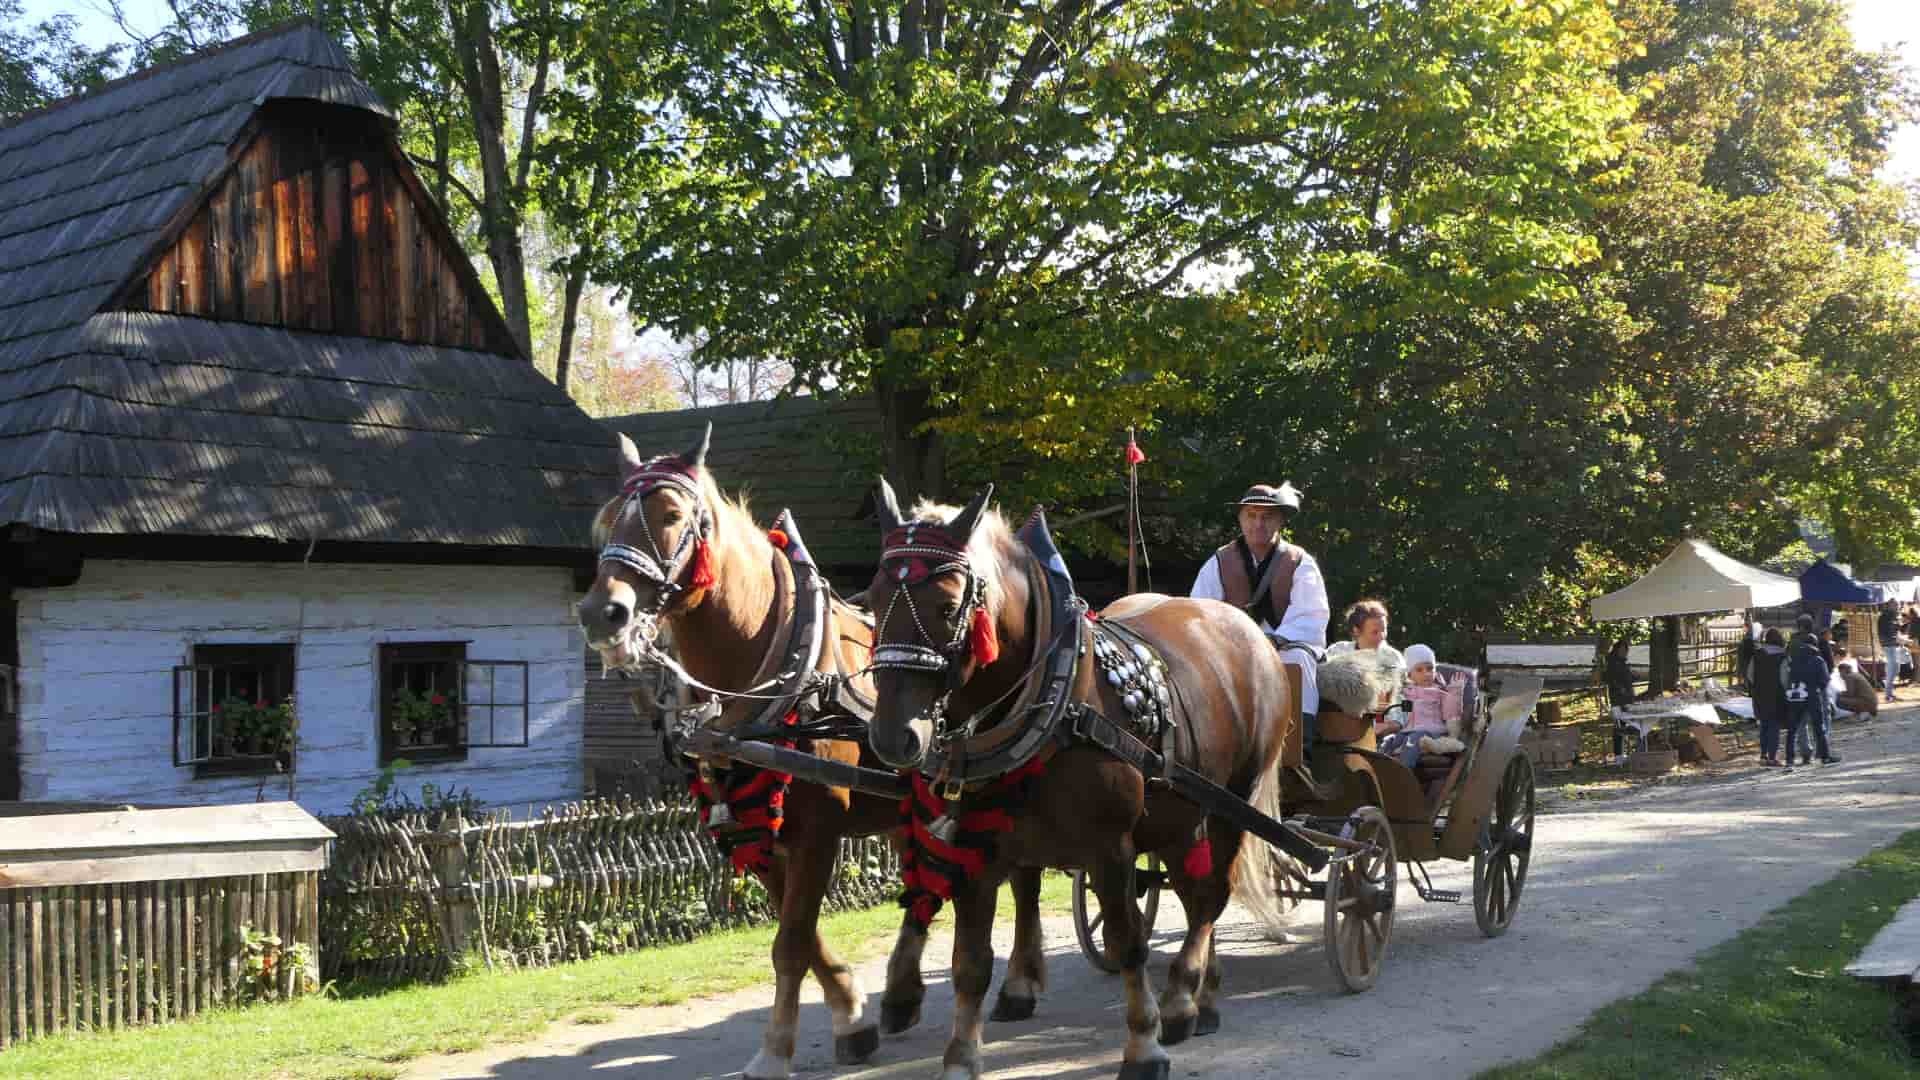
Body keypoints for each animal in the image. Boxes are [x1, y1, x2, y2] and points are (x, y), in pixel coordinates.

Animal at [576, 428, 1052, 1076]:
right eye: (605, 524)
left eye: (672, 515)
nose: (604, 613)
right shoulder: (751, 827)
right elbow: (799, 934)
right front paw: (852, 1011)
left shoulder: (819, 828)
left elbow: (792, 943)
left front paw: (777, 1049)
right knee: (923, 886)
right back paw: (902, 992)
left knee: (1022, 880)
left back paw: (1020, 983)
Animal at [867, 480, 1290, 1076]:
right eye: (873, 601)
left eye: (949, 607)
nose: (893, 736)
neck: (1055, 694)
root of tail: (1248, 630)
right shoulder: (977, 848)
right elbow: (970, 961)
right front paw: (960, 1055)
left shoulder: (1110, 847)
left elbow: (1126, 940)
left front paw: (1143, 1044)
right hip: (1181, 815)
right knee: (1192, 892)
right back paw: (1202, 994)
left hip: (1232, 803)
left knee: (1211, 896)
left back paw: (1183, 999)